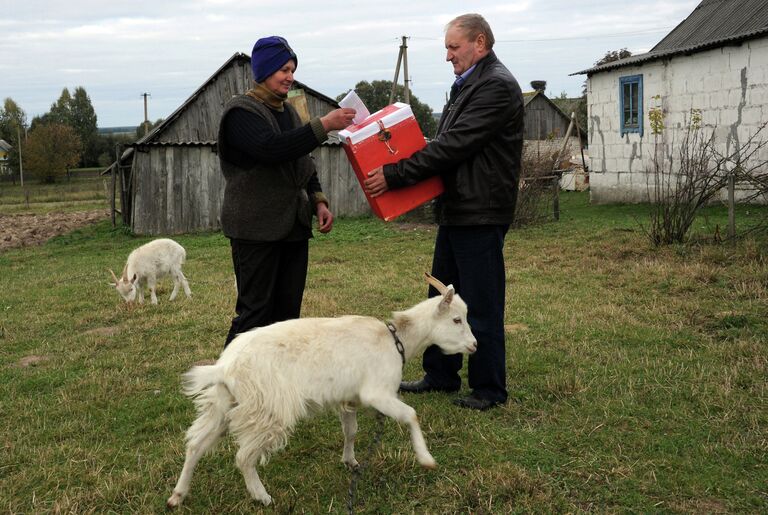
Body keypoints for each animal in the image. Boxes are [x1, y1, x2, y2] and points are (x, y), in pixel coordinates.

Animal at [167, 274, 476, 508]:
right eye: (456, 320)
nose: (474, 345)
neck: (396, 340)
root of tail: (225, 367)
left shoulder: (348, 398)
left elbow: (350, 431)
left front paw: (351, 461)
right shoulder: (377, 393)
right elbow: (411, 414)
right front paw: (426, 459)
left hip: (226, 403)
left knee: (196, 445)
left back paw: (177, 496)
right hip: (267, 407)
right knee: (243, 457)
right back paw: (262, 496)